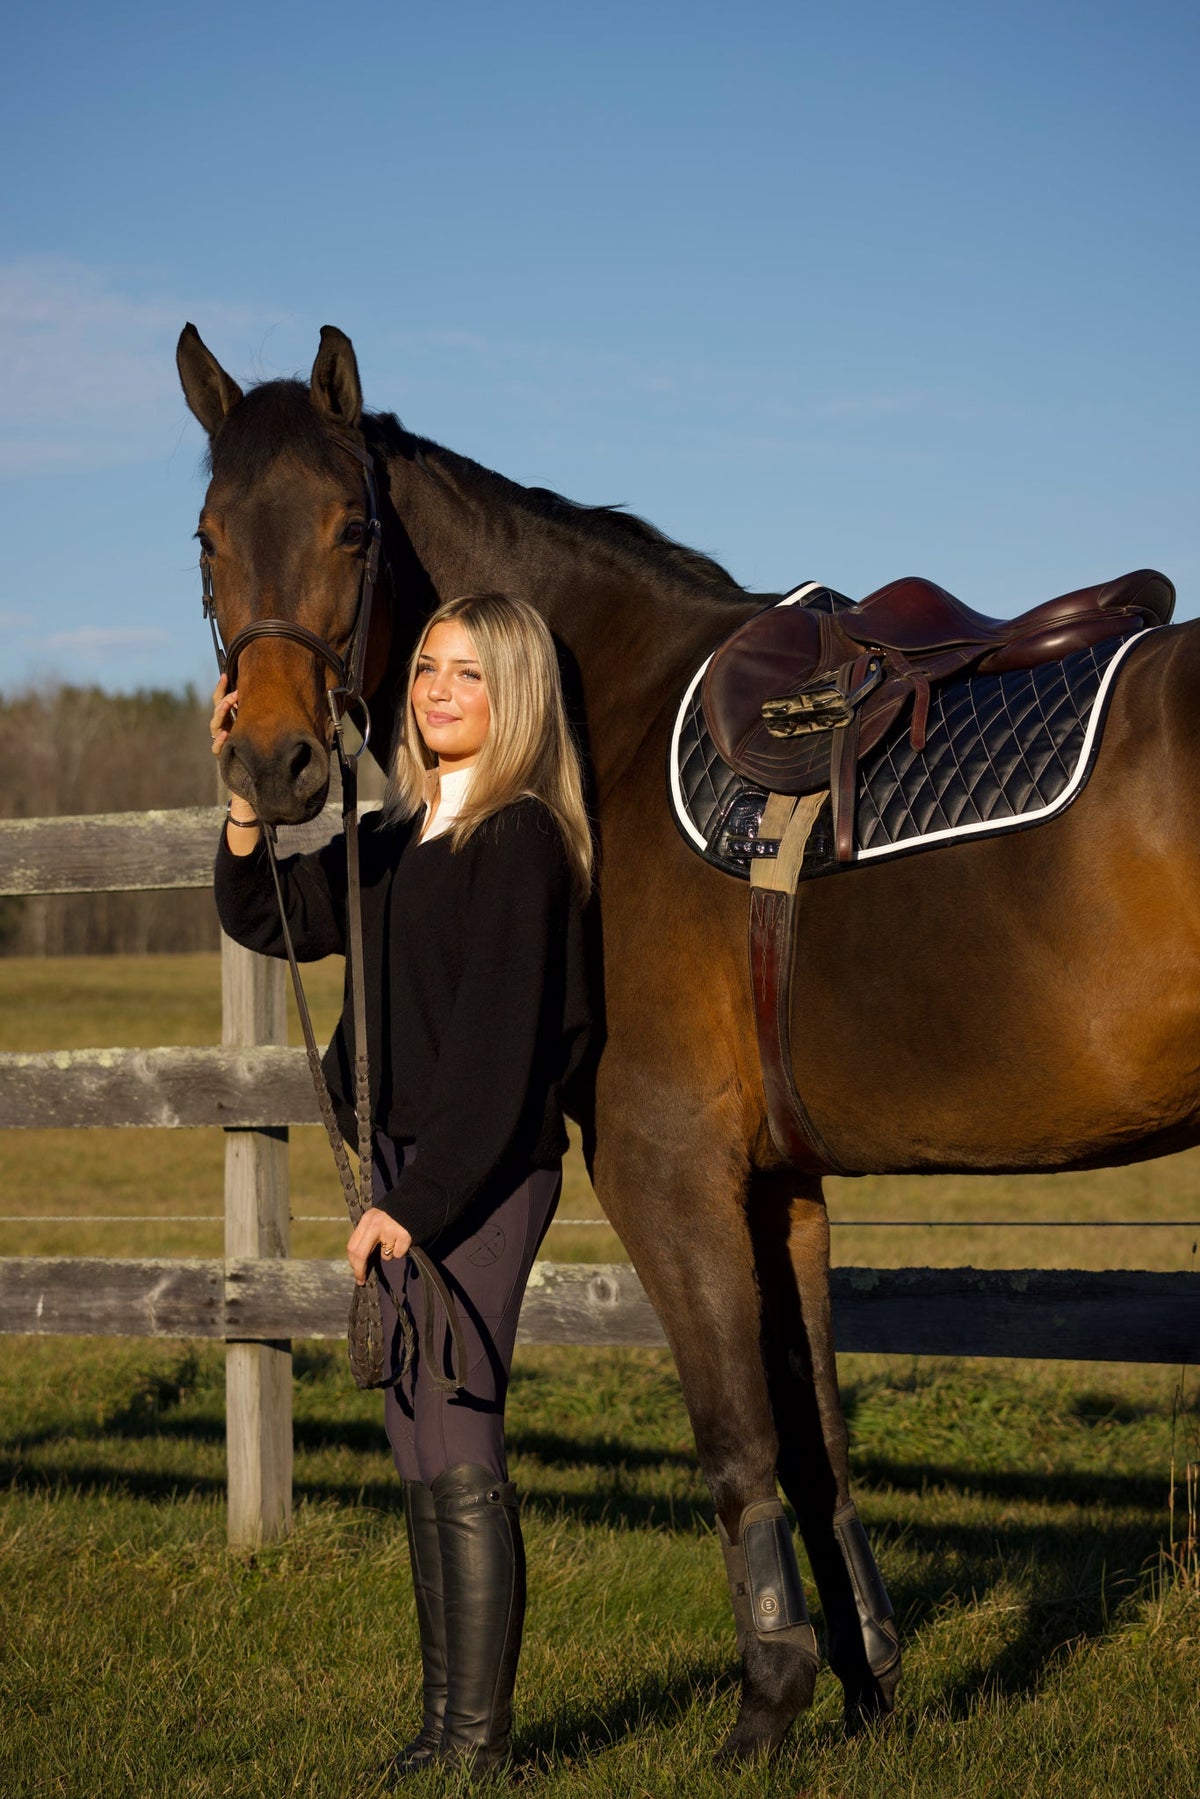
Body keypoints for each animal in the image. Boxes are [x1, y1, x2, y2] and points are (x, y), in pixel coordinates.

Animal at [177, 322, 1200, 1761]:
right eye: (208, 536)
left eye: (351, 526)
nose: (271, 764)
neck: (604, 724)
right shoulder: (783, 1184)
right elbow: (816, 1441)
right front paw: (868, 1686)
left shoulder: (669, 1168)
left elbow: (738, 1441)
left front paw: (767, 1705)